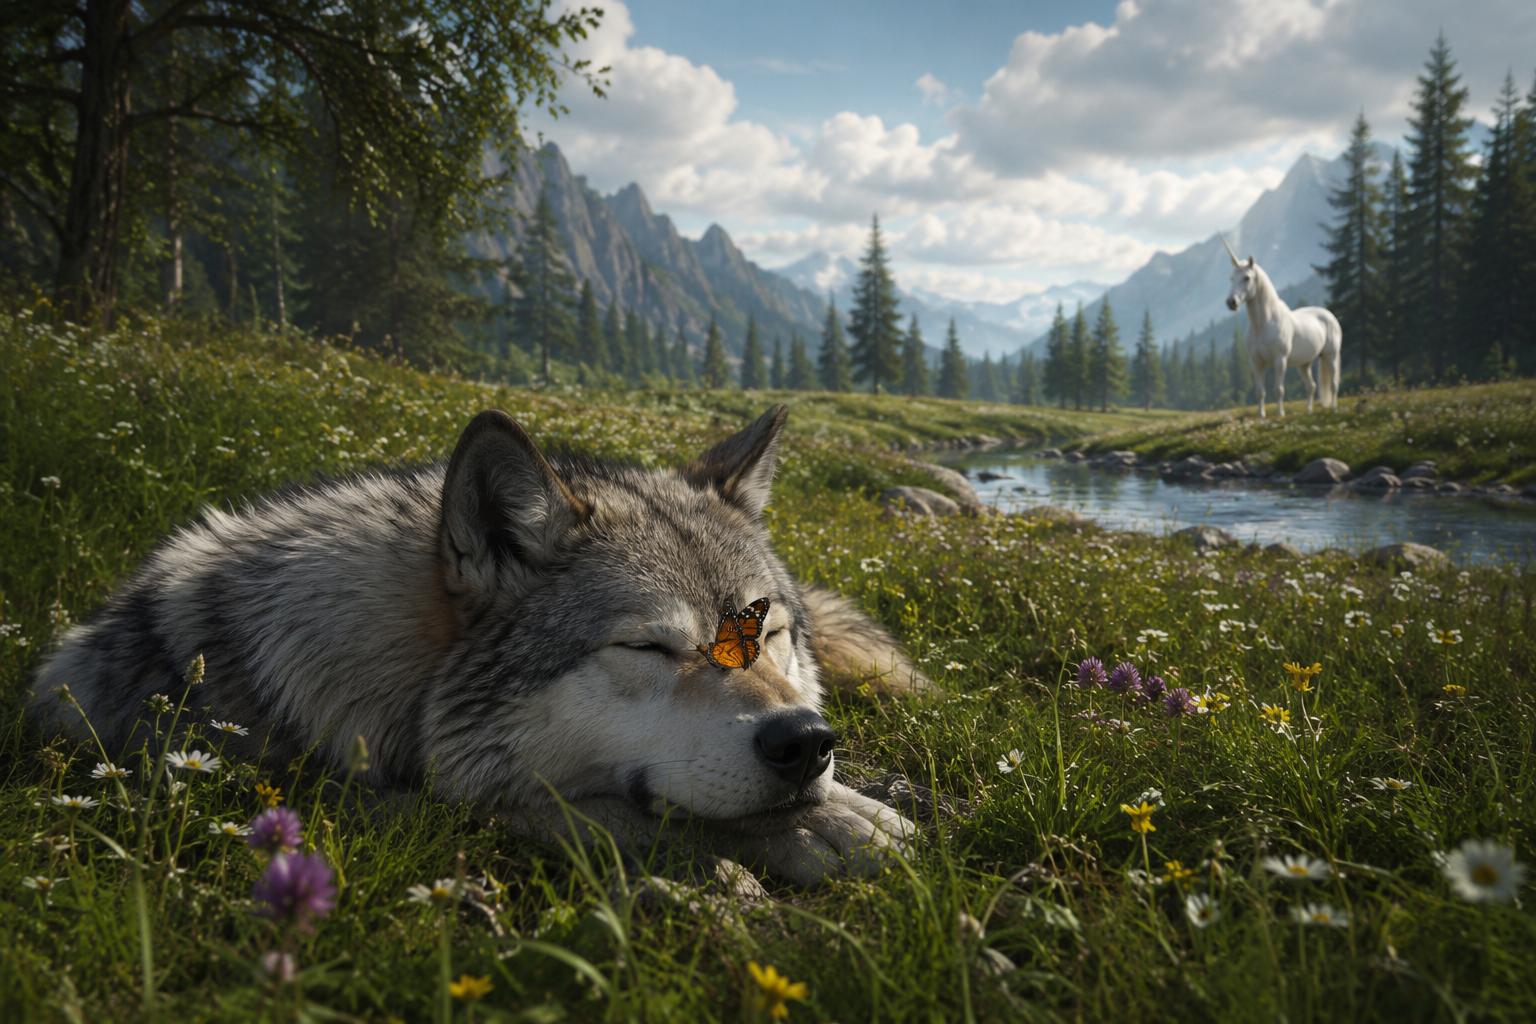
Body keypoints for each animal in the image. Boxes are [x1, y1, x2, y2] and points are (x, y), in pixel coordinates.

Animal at [29, 405, 930, 884]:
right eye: (647, 649)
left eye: (768, 634)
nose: (805, 742)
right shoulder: (418, 813)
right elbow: (647, 816)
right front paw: (833, 827)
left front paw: (860, 797)